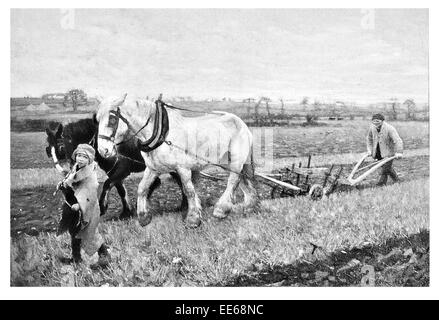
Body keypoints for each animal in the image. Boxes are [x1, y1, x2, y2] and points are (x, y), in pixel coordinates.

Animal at [45, 117, 188, 220]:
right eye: (48, 151)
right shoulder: (113, 172)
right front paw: (126, 212)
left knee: (181, 182)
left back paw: (184, 206)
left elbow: (107, 185)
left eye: (61, 148)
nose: (63, 170)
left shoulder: (122, 170)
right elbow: (121, 190)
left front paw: (103, 207)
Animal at [97, 95, 258, 228]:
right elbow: (142, 188)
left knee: (233, 180)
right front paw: (143, 217)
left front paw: (193, 219)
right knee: (243, 181)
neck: (162, 133)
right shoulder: (153, 169)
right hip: (227, 162)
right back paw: (249, 207)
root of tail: (241, 123)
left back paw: (221, 209)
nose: (103, 150)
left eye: (112, 120)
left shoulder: (183, 168)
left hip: (236, 160)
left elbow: (189, 191)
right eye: (97, 120)